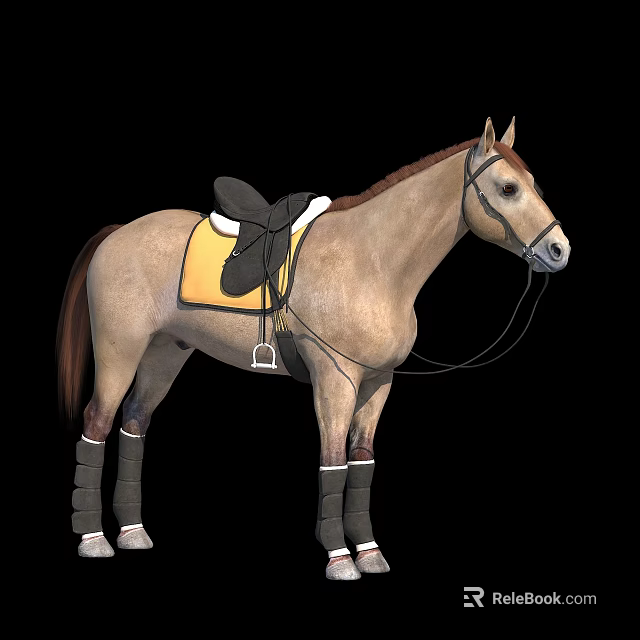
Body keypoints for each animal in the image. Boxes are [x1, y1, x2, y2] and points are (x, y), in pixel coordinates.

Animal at [57, 116, 570, 579]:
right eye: (508, 189)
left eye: (534, 184)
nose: (560, 251)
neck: (373, 262)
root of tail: (118, 232)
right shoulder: (334, 379)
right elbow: (333, 463)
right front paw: (339, 558)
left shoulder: (377, 383)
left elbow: (361, 461)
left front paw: (369, 552)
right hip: (120, 353)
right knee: (97, 423)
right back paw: (94, 539)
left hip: (165, 353)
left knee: (134, 423)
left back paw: (132, 533)